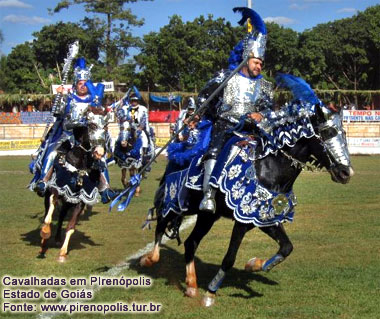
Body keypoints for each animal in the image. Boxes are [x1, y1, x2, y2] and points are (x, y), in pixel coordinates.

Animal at [39, 109, 110, 264]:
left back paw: (57, 239)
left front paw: (62, 254)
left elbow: (71, 226)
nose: (100, 152)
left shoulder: (81, 200)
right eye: (92, 125)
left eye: (106, 127)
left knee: (61, 216)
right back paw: (43, 244)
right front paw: (45, 232)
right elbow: (51, 210)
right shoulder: (57, 188)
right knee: (49, 210)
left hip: (68, 202)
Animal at [140, 102, 354, 308]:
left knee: (190, 242)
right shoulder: (241, 221)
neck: (269, 167)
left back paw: (192, 286)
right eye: (328, 132)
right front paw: (210, 294)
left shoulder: (264, 219)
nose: (346, 173)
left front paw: (256, 264)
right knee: (160, 225)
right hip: (175, 203)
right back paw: (149, 258)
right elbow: (229, 258)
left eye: (344, 133)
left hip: (207, 216)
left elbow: (287, 247)